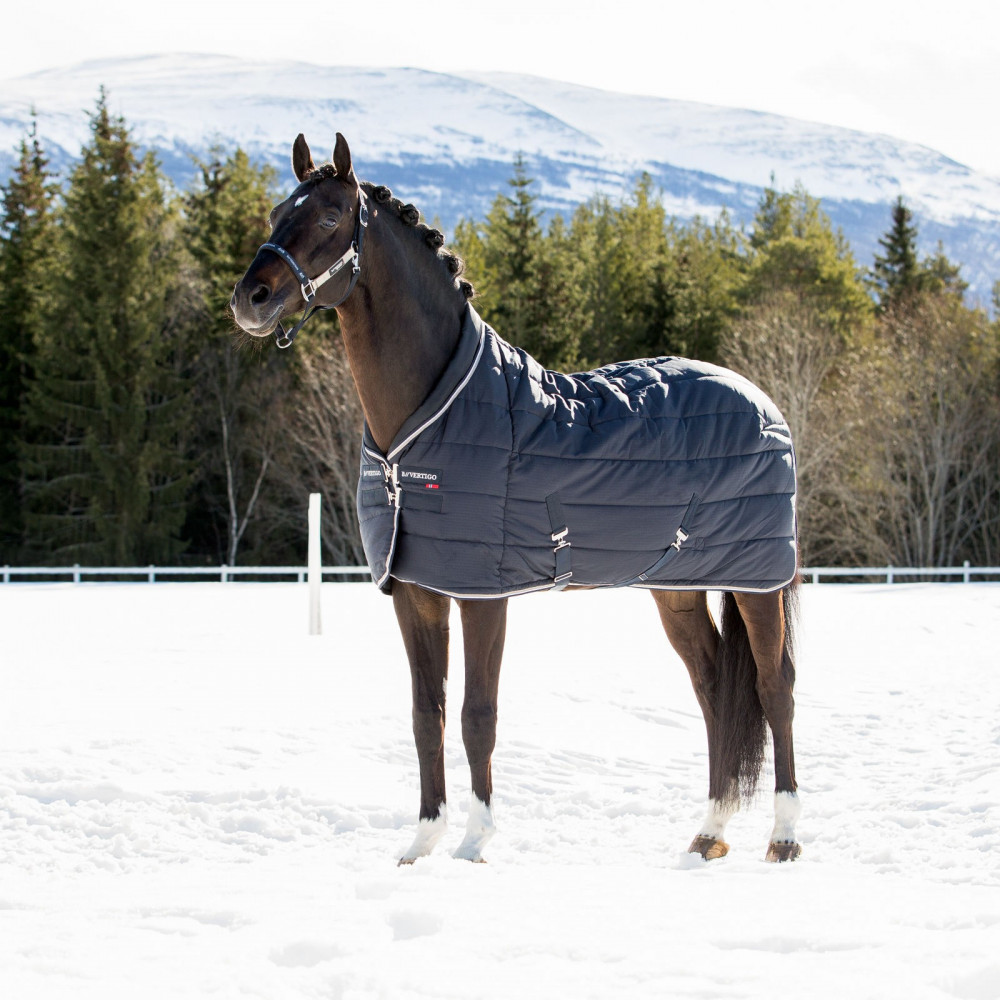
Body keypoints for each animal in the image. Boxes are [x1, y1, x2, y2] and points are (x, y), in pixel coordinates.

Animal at [231, 133, 802, 865]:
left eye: (330, 216)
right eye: (279, 211)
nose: (250, 297)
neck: (425, 425)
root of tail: (763, 402)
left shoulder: (483, 594)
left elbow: (478, 716)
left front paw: (474, 842)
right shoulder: (415, 593)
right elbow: (426, 715)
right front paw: (421, 842)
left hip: (759, 583)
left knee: (773, 688)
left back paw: (784, 837)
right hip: (676, 589)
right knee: (713, 691)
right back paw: (709, 833)